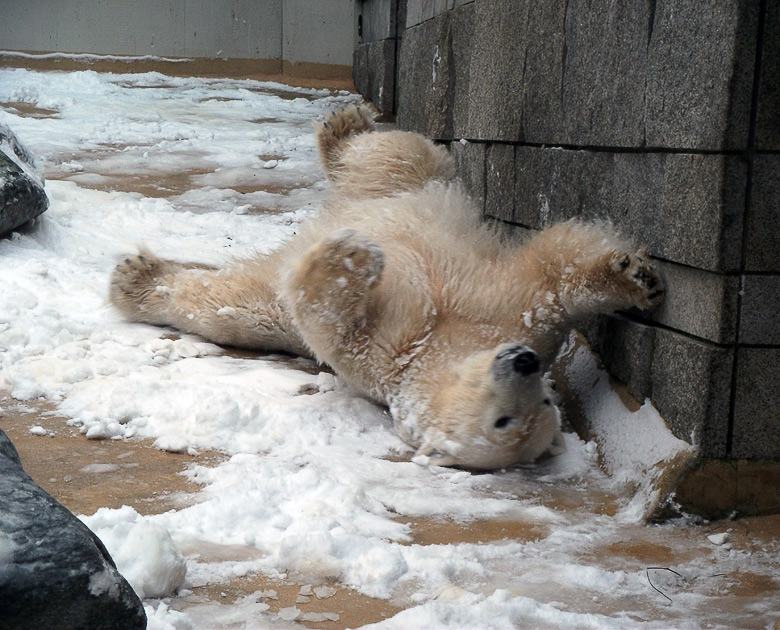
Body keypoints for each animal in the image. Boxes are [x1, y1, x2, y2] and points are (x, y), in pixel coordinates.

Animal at [111, 106, 664, 472]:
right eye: (506, 420)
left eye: (536, 409)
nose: (524, 362)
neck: (441, 345)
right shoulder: (451, 327)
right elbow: (550, 275)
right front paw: (638, 277)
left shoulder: (424, 347)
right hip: (402, 189)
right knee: (394, 156)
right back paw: (342, 126)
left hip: (279, 301)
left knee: (231, 306)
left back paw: (135, 280)